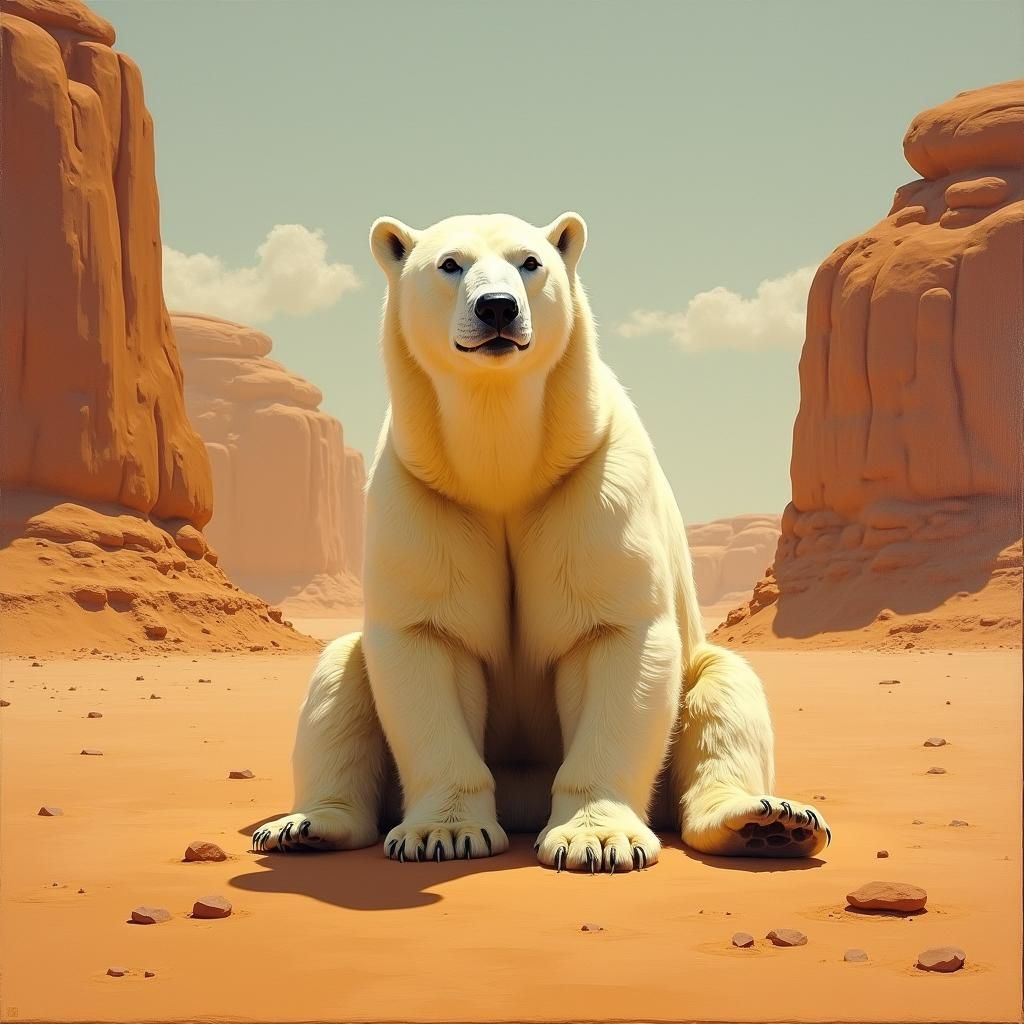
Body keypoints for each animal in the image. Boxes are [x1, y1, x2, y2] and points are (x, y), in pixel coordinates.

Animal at [251, 212, 831, 871]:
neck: (502, 470)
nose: (498, 308)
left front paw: (597, 840)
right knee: (340, 673)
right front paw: (442, 833)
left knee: (725, 687)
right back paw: (304, 826)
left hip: (701, 673)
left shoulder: (589, 481)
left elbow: (611, 634)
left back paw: (768, 823)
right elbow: (428, 638)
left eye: (530, 262)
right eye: (449, 264)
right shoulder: (425, 491)